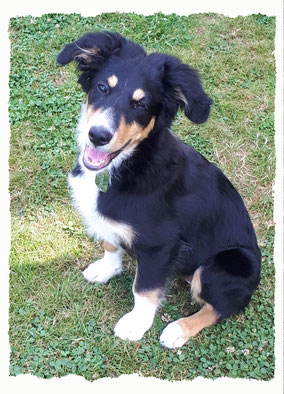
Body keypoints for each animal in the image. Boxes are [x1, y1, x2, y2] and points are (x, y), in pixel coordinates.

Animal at [56, 32, 260, 350]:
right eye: (102, 88)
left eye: (141, 105)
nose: (98, 136)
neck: (123, 167)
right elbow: (110, 243)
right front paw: (107, 268)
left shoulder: (160, 244)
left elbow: (144, 288)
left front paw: (136, 324)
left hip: (227, 263)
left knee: (221, 307)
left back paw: (179, 329)